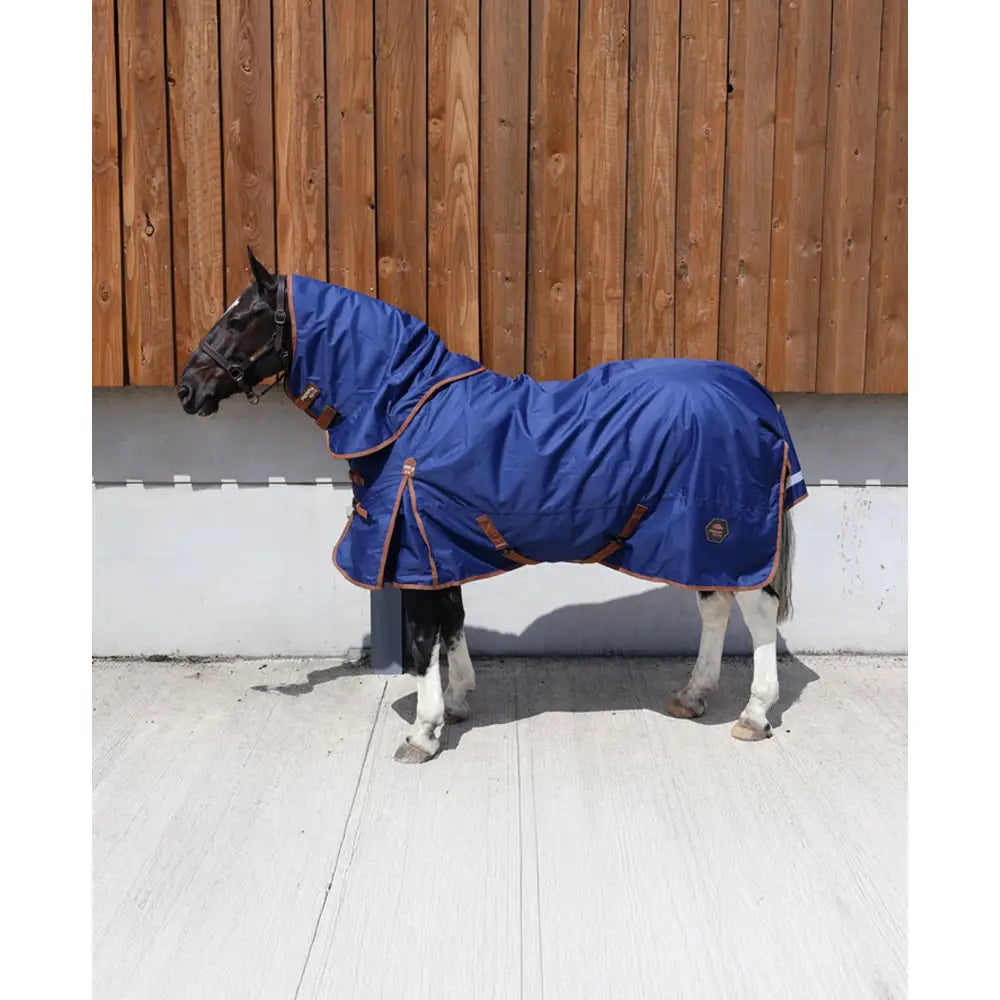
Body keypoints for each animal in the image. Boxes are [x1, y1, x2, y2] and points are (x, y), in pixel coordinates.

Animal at [178, 249, 807, 763]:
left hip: (723, 533)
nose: (186, 389)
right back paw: (693, 695)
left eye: (239, 319)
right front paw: (457, 704)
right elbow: (453, 623)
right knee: (715, 607)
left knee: (755, 613)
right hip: (699, 542)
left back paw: (753, 714)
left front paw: (422, 733)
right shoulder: (440, 548)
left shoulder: (414, 548)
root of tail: (754, 397)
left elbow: (424, 641)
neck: (406, 411)